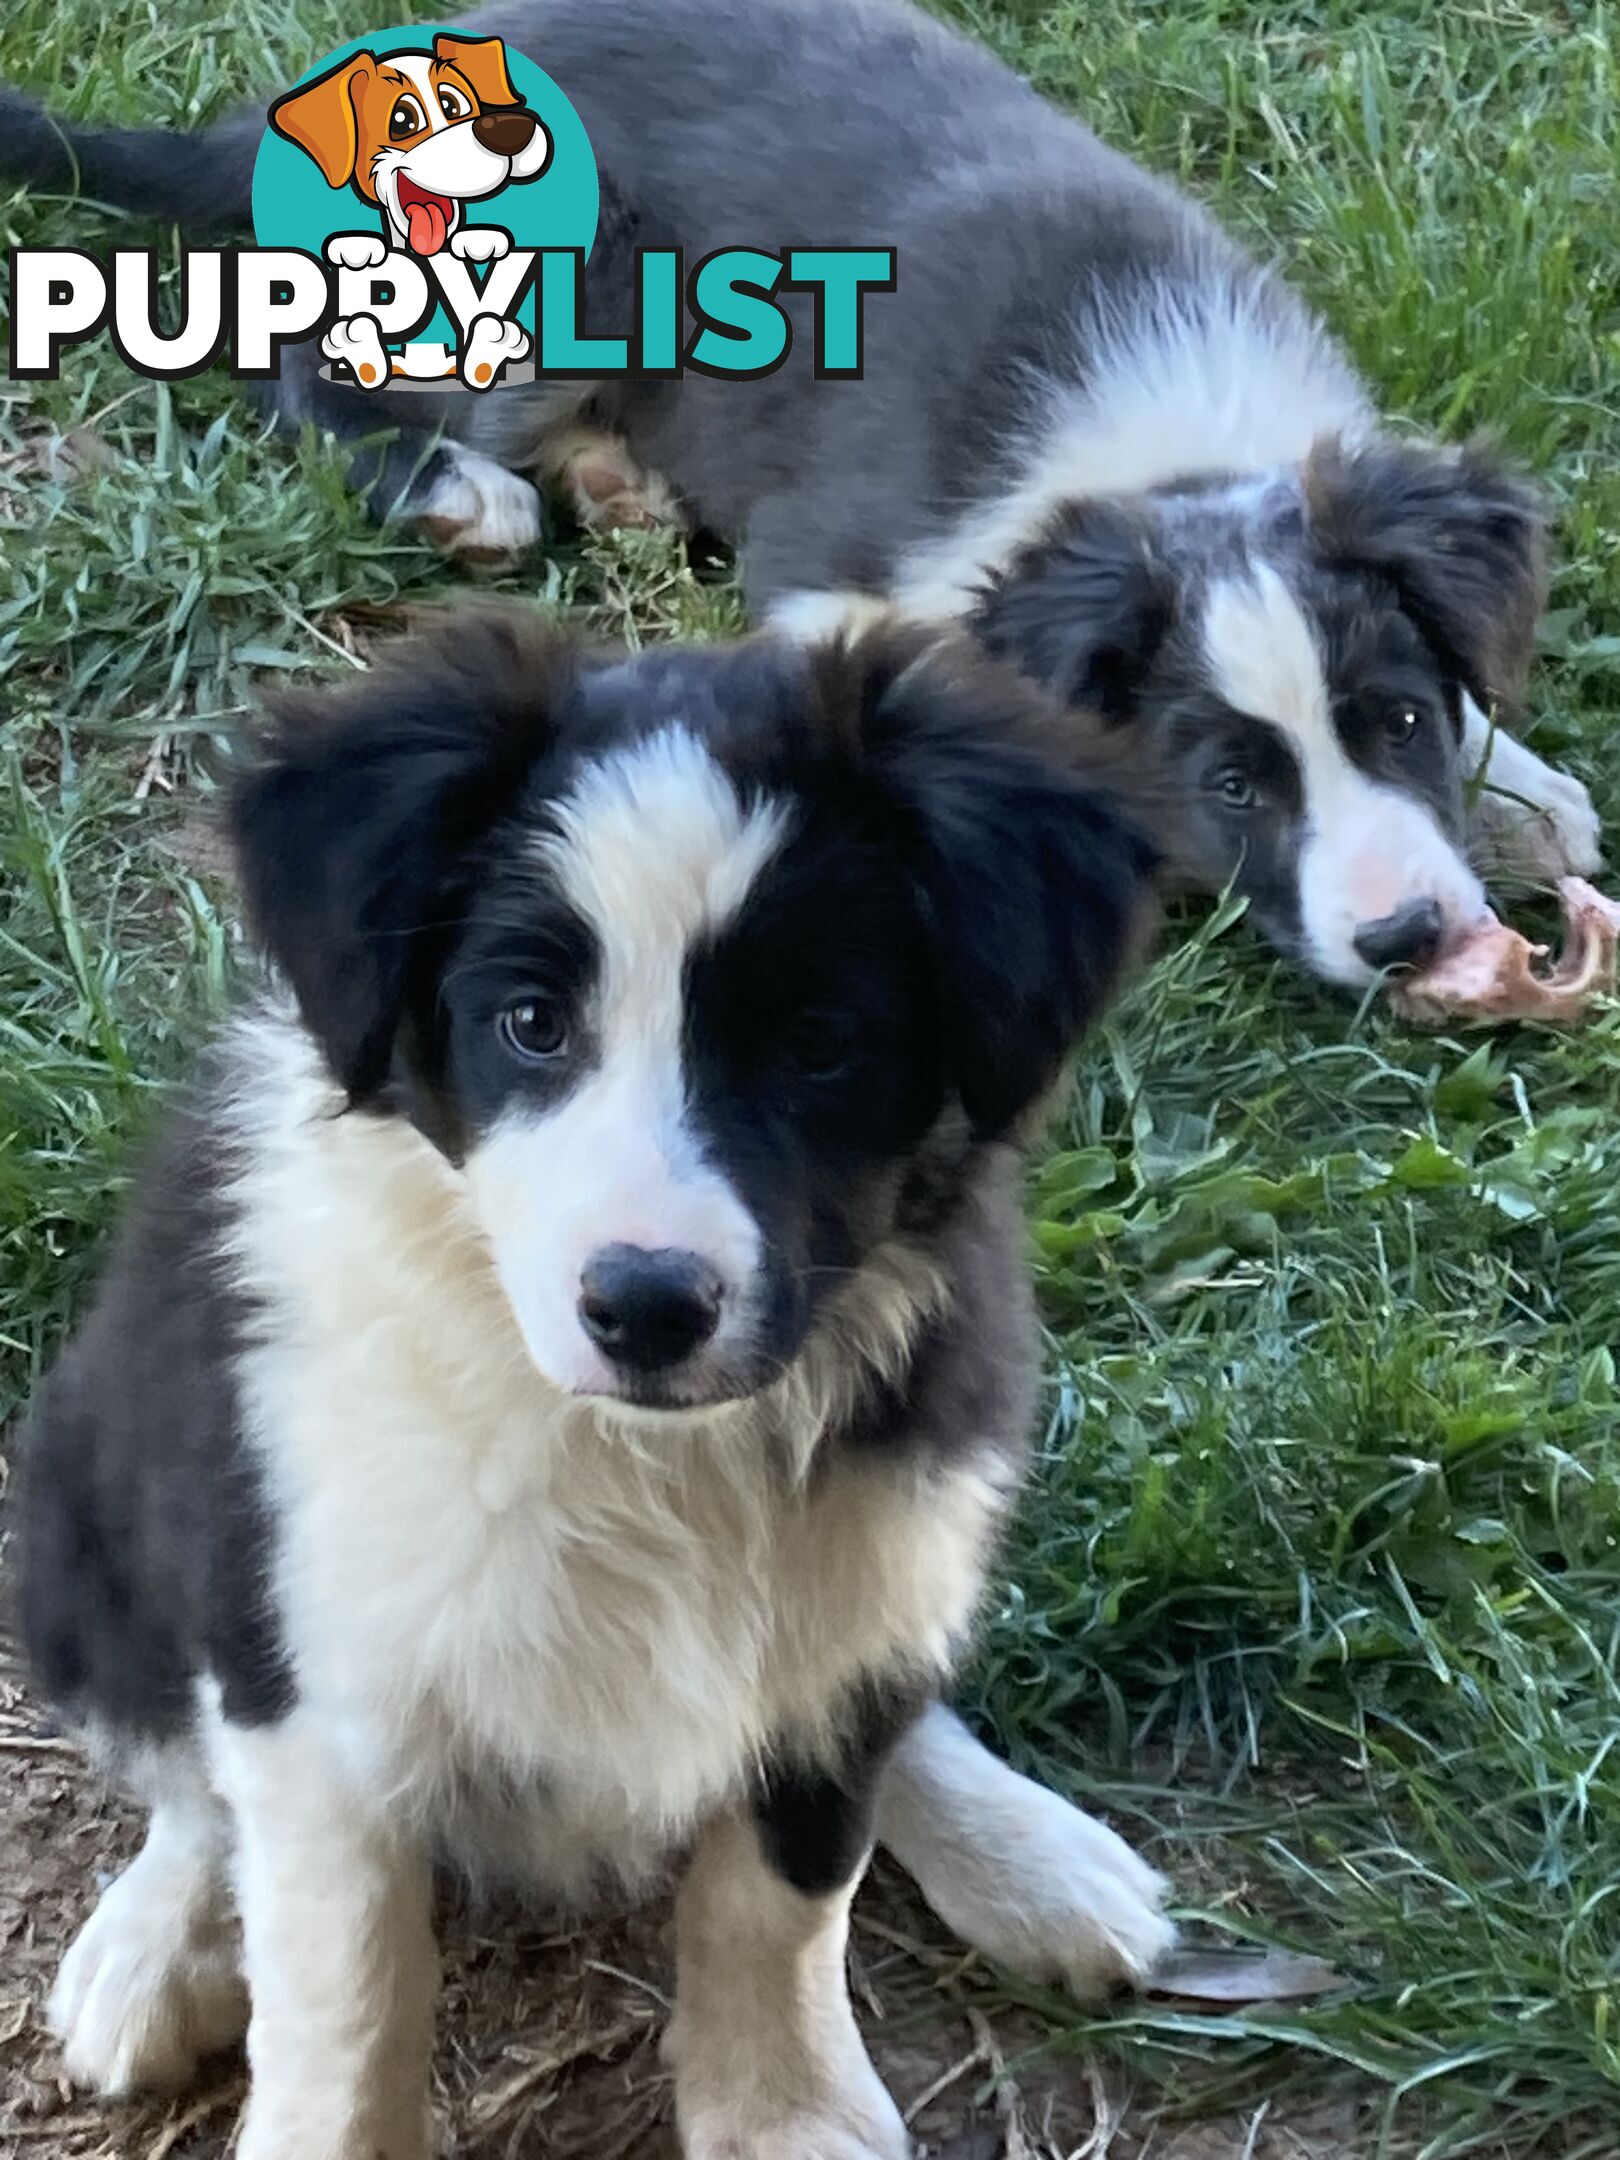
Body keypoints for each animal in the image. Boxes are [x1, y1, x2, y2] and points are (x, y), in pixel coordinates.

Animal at [0, 0, 1598, 989]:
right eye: (1231, 786)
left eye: (1399, 720)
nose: (1409, 938)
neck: (1159, 467)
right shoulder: (839, 570)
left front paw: (1528, 794)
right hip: (567, 271)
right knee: (304, 354)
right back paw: (462, 489)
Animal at [25, 613, 1166, 2160]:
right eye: (529, 1023)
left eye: (822, 1043)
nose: (646, 1307)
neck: (629, 1449)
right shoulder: (322, 1674)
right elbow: (344, 1983)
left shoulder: (884, 1514)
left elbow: (782, 1891)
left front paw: (786, 2114)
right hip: (78, 1510)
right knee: (185, 1773)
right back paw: (157, 1944)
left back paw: (1029, 1852)